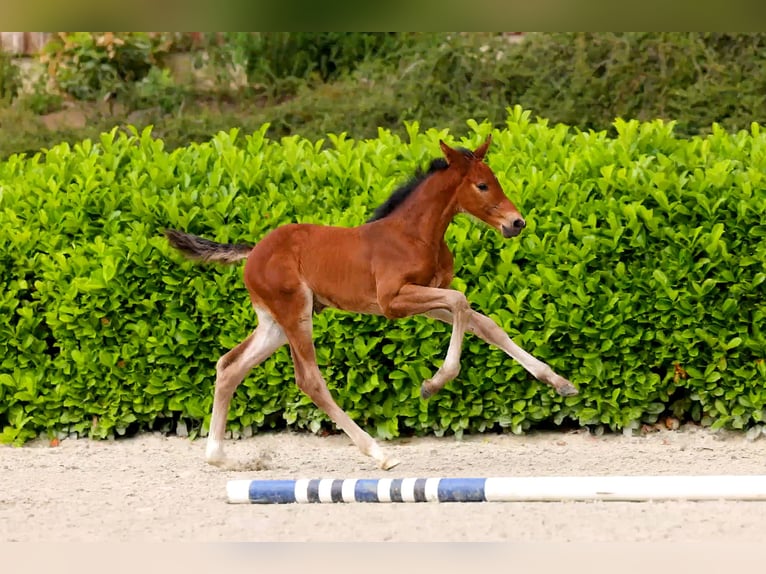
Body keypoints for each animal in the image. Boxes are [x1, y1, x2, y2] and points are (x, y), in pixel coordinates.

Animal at [165, 135, 577, 470]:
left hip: (275, 324)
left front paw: (560, 382)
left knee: (229, 366)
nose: (516, 223)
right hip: (294, 314)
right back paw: (380, 453)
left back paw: (219, 456)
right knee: (309, 380)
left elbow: (484, 323)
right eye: (482, 185)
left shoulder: (424, 297)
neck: (414, 234)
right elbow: (461, 302)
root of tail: (253, 253)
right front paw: (432, 385)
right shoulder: (393, 301)